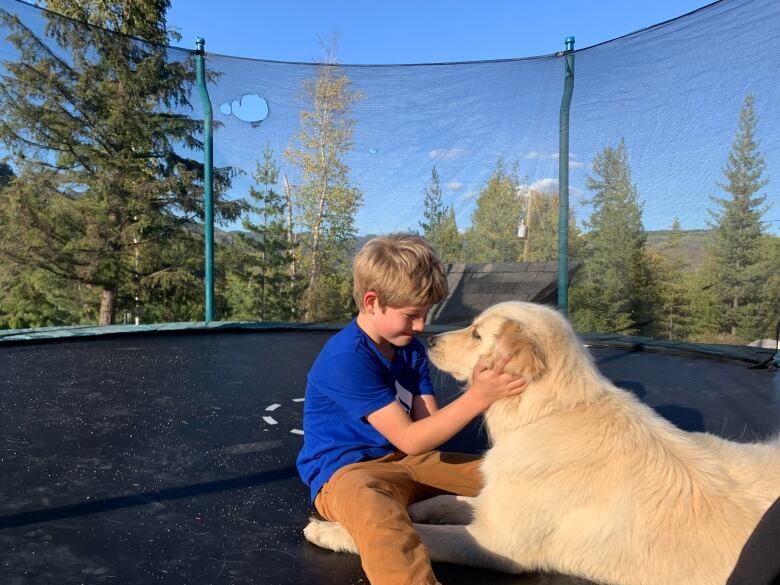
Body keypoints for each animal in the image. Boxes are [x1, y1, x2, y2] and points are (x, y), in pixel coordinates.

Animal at [304, 302, 780, 584]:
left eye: (477, 334)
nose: (430, 338)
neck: (548, 413)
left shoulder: (499, 542)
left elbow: (422, 536)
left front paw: (331, 529)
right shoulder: (496, 505)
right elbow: (447, 501)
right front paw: (420, 504)